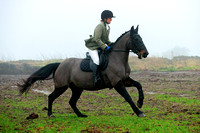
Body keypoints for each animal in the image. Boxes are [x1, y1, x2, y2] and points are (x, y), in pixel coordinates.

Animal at [18, 25, 148, 117]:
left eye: (141, 38)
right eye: (136, 39)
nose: (145, 53)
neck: (118, 59)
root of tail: (60, 64)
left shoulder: (125, 80)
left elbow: (139, 85)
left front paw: (140, 102)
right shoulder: (117, 83)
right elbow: (128, 97)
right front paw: (139, 112)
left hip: (77, 88)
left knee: (72, 102)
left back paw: (81, 115)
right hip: (62, 87)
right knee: (51, 97)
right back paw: (50, 114)